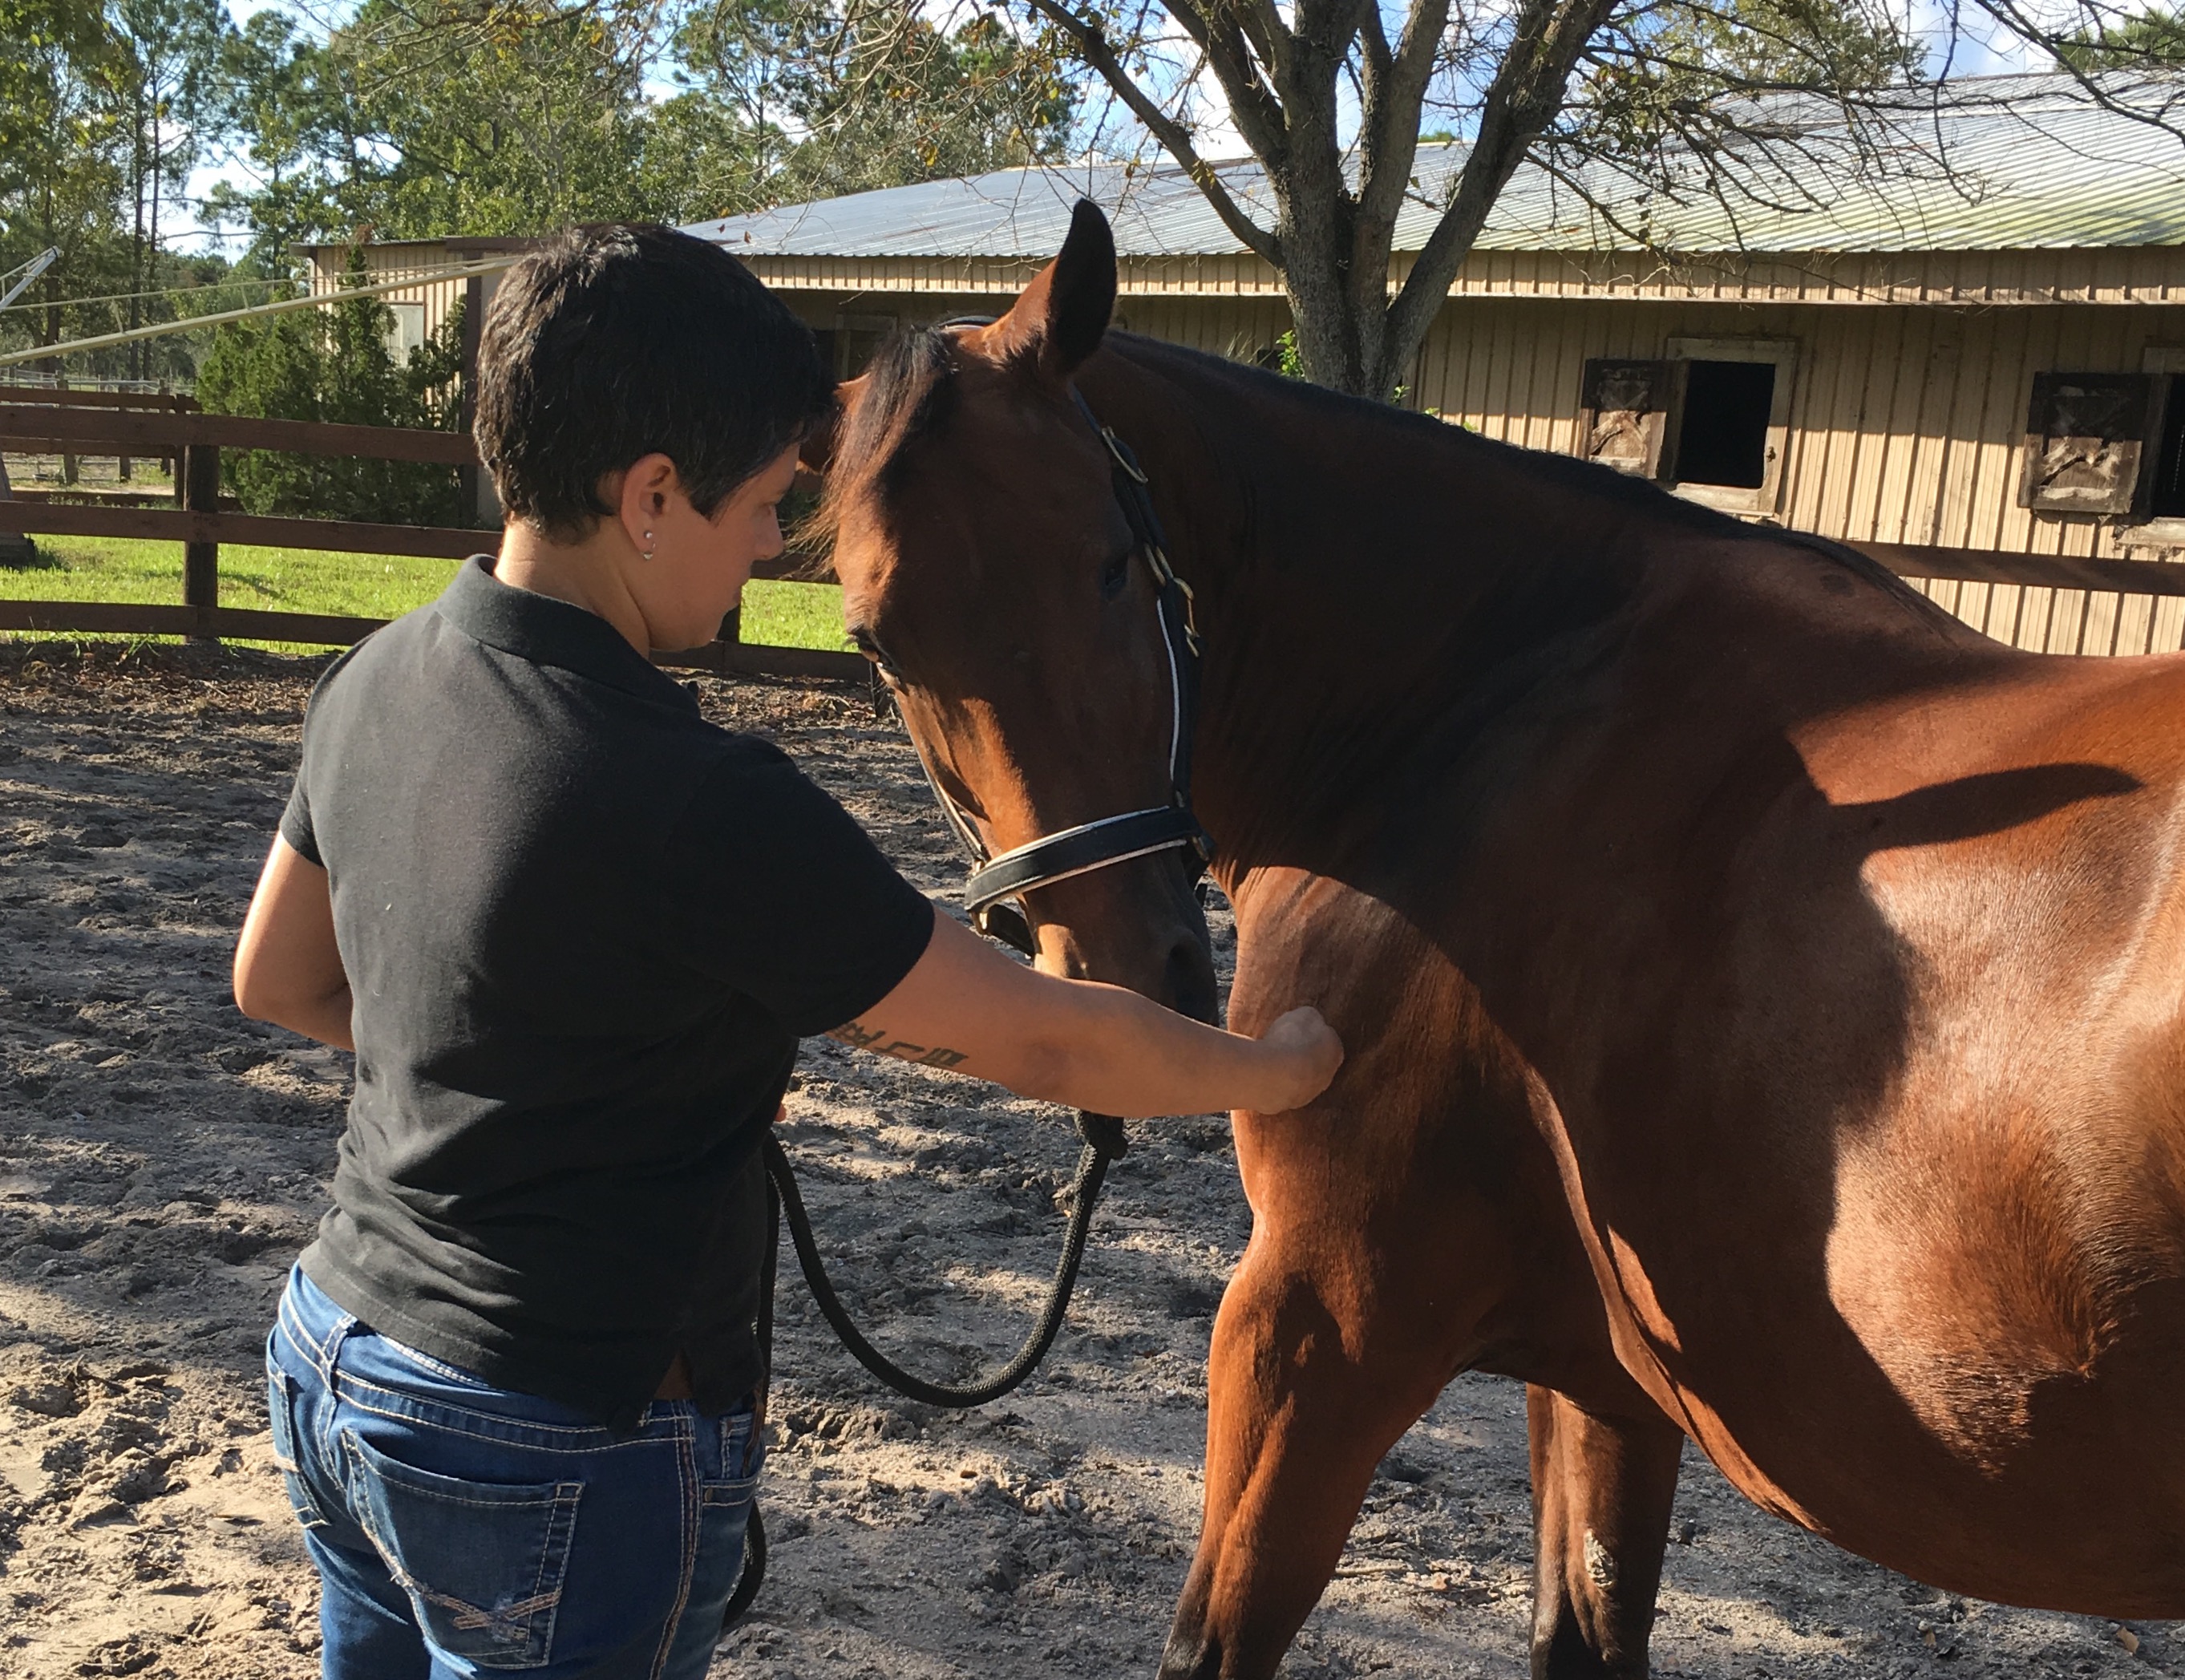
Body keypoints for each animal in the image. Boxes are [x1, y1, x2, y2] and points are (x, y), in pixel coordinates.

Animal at [807, 200, 2185, 1679]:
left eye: (1114, 566)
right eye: (877, 641)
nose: (1136, 981)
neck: (1491, 707)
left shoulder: (1320, 1316)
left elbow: (1214, 1641)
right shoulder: (1607, 1381)